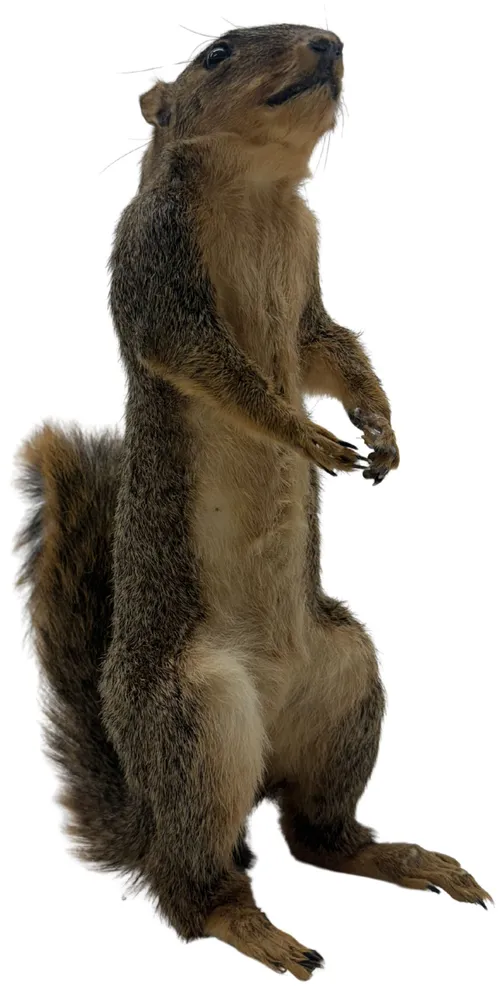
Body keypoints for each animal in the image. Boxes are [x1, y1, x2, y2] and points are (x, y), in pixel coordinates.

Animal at [16, 23, 491, 981]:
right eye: (217, 54)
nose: (331, 43)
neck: (259, 195)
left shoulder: (308, 286)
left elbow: (329, 352)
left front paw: (382, 431)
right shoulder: (157, 268)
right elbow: (221, 372)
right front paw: (306, 437)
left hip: (349, 687)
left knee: (317, 837)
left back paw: (404, 858)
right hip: (195, 721)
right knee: (190, 889)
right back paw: (254, 927)